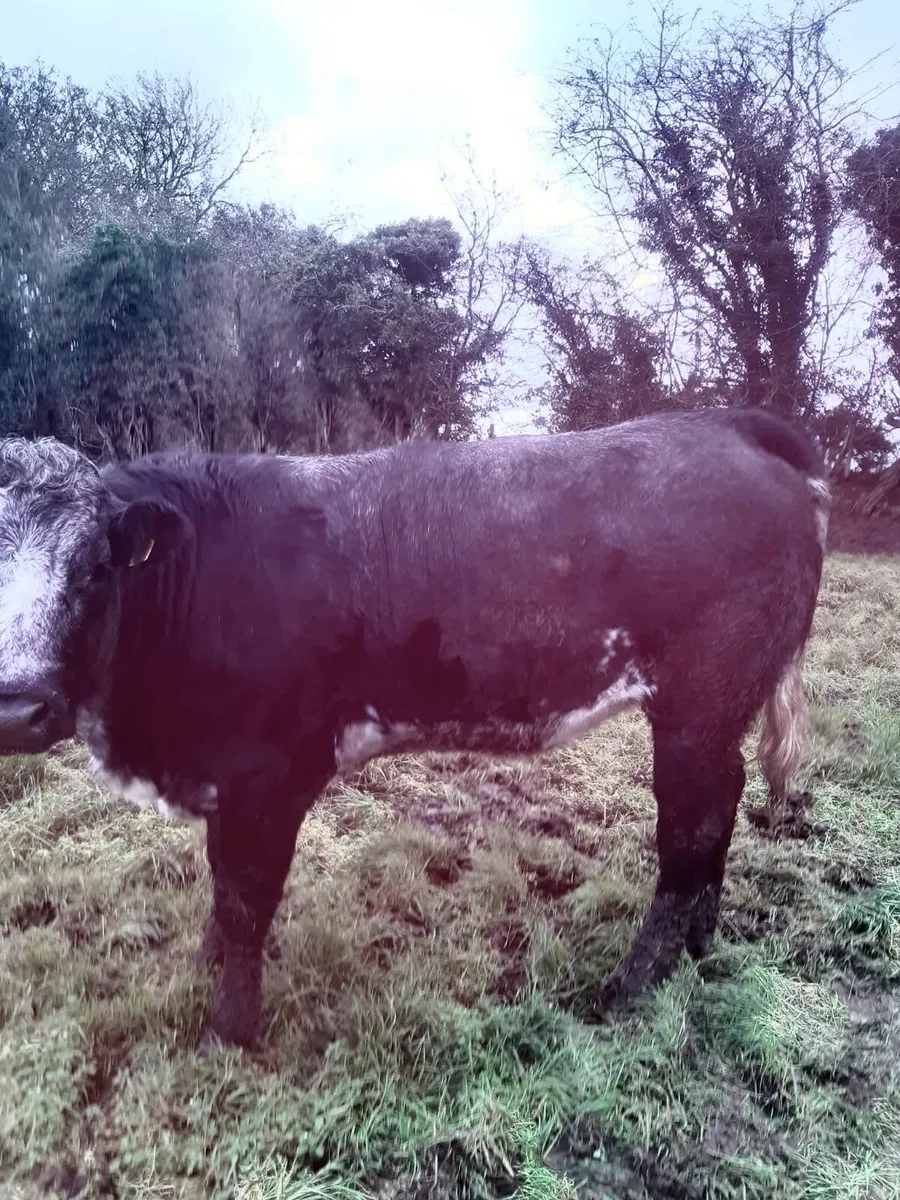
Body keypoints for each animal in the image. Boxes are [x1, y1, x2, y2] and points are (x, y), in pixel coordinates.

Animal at [0, 407, 829, 1049]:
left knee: (690, 828)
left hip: (697, 705)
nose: (16, 710)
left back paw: (635, 980)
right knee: (722, 805)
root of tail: (725, 424)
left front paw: (229, 1029)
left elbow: (244, 900)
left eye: (94, 567)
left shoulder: (268, 774)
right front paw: (205, 968)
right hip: (716, 712)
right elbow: (222, 896)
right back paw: (699, 942)